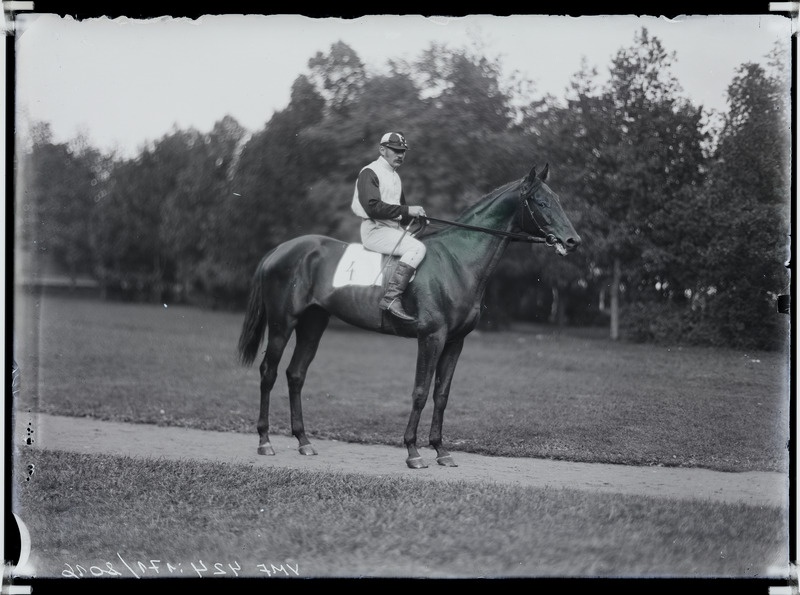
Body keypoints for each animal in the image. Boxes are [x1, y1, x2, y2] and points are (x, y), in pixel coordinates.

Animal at [238, 163, 580, 470]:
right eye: (541, 202)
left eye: (558, 199)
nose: (573, 241)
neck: (457, 260)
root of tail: (281, 249)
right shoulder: (431, 338)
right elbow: (420, 392)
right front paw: (413, 452)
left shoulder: (455, 342)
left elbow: (441, 394)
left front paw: (441, 451)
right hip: (283, 323)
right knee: (268, 372)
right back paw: (264, 441)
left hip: (313, 324)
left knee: (296, 374)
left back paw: (303, 442)